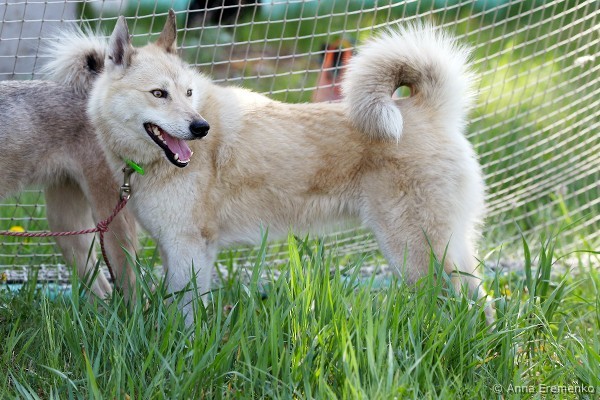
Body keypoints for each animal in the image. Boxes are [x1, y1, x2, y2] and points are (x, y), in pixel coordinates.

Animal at [69, 11, 489, 324]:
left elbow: (184, 313)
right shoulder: (184, 250)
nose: (201, 128)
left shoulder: (186, 246)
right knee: (481, 301)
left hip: (415, 253)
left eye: (188, 93)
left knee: (464, 302)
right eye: (159, 94)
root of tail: (427, 110)